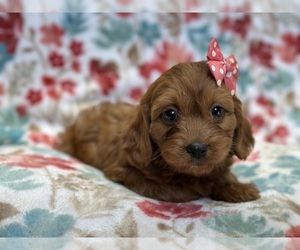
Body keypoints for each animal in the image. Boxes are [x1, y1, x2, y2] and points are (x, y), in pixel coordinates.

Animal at [56, 59, 260, 204]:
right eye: (170, 114)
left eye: (217, 111)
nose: (197, 148)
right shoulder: (123, 170)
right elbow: (170, 190)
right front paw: (197, 188)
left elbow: (221, 175)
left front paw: (238, 187)